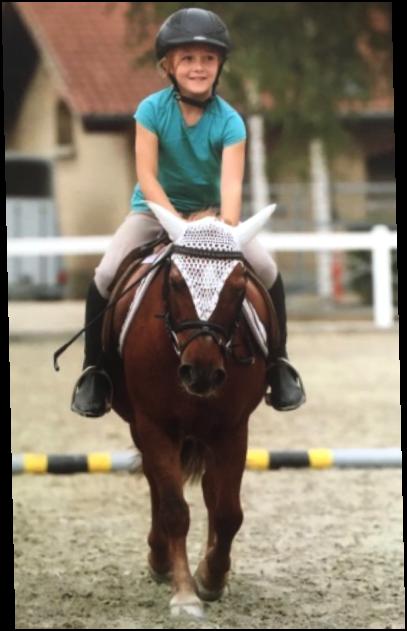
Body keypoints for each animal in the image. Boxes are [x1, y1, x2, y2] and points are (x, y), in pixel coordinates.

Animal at [110, 205, 278, 620]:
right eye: (174, 282)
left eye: (239, 285)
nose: (200, 373)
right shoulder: (154, 426)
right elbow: (174, 509)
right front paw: (185, 593)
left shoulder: (232, 429)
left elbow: (228, 511)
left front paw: (212, 577)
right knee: (156, 486)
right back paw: (160, 561)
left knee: (210, 492)